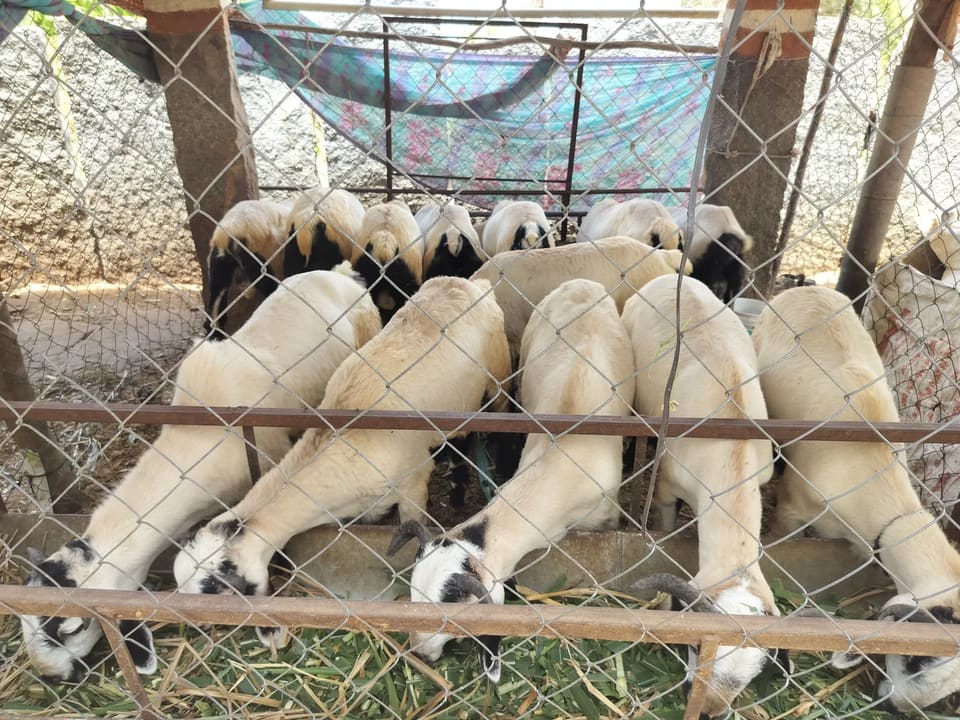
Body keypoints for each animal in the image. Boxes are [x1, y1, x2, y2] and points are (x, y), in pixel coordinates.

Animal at [172, 275, 511, 651]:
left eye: (213, 588)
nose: (196, 626)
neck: (341, 441)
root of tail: (470, 283)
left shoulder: (413, 482)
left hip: (499, 376)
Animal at [387, 278, 635, 680]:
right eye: (411, 596)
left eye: (449, 618)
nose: (419, 653)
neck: (559, 465)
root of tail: (582, 283)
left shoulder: (605, 519)